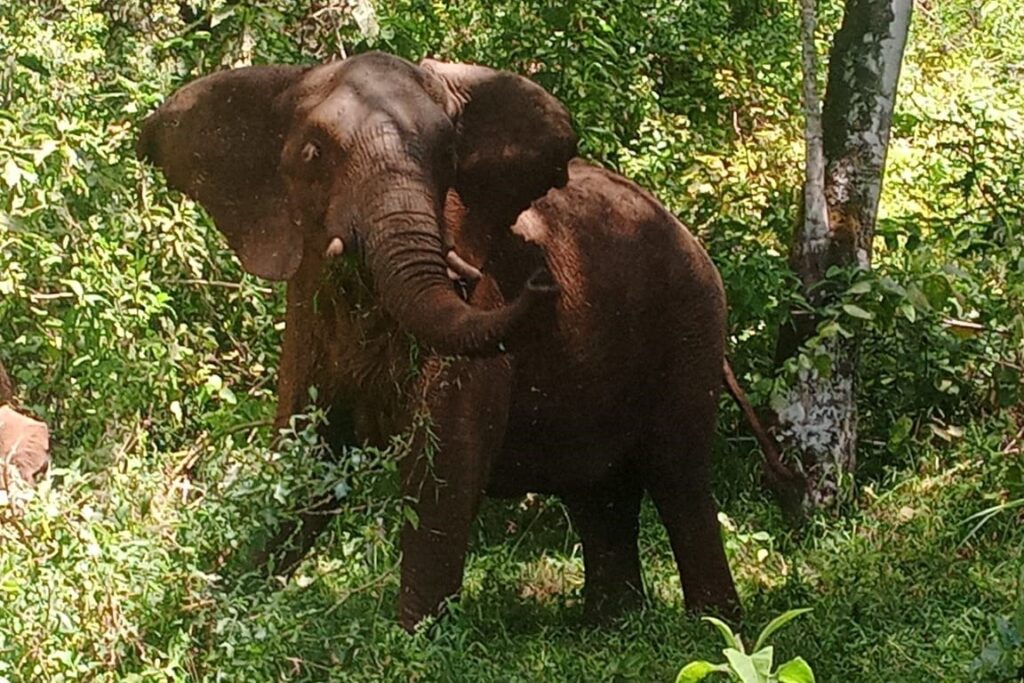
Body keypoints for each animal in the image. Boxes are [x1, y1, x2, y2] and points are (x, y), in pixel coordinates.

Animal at [138, 51, 740, 630]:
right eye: (313, 155)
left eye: (446, 156)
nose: (541, 282)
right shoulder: (307, 309)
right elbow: (304, 460)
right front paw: (216, 618)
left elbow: (443, 465)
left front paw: (411, 642)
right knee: (598, 492)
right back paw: (612, 625)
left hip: (691, 321)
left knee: (680, 475)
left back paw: (711, 626)